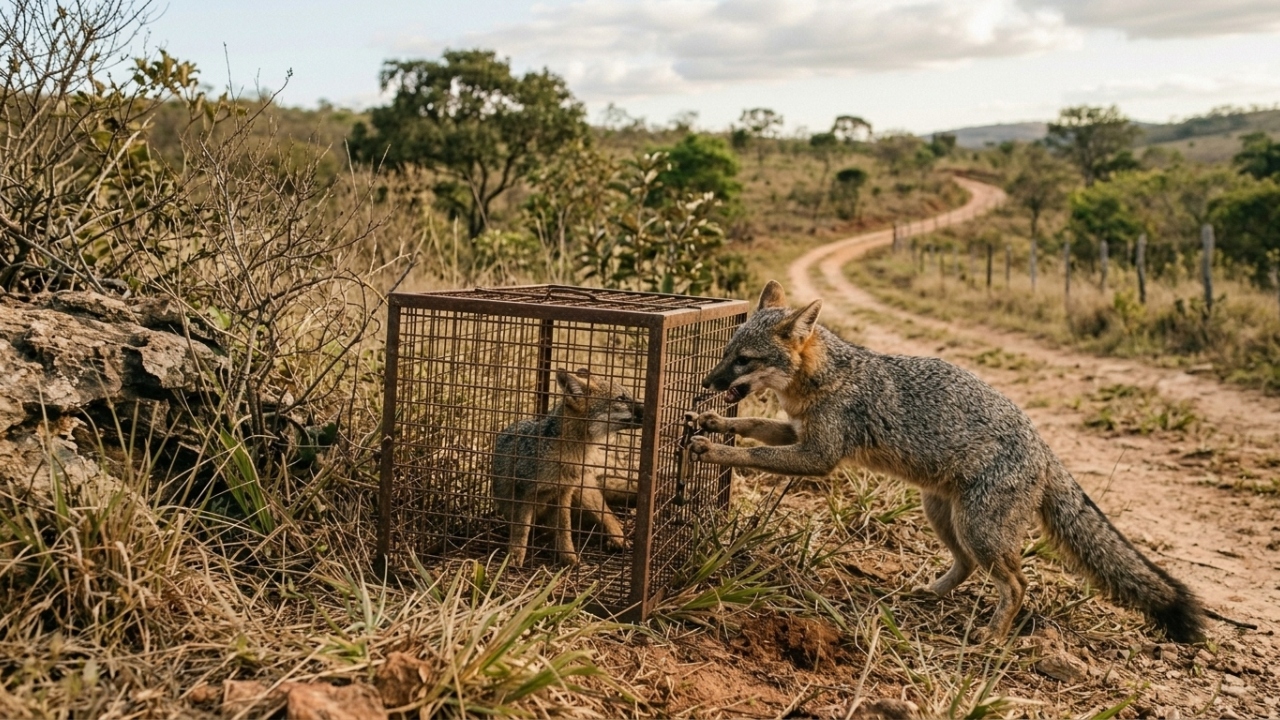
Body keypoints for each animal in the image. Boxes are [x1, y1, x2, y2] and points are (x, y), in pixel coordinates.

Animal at [492, 368, 643, 567]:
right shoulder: (524, 493)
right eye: (621, 398)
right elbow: (521, 529)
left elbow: (565, 529)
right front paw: (515, 557)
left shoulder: (564, 493)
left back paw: (617, 537)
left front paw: (569, 558)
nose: (647, 410)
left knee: (608, 514)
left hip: (584, 494)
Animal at [687, 280, 1206, 642]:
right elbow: (753, 426)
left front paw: (713, 449)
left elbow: (756, 452)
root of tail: (1042, 445)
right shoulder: (798, 432)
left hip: (978, 528)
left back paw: (992, 636)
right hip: (942, 514)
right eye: (726, 353)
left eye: (744, 360)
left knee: (1017, 584)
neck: (824, 378)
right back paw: (928, 593)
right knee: (969, 566)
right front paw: (711, 421)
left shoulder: (819, 456)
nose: (708, 383)